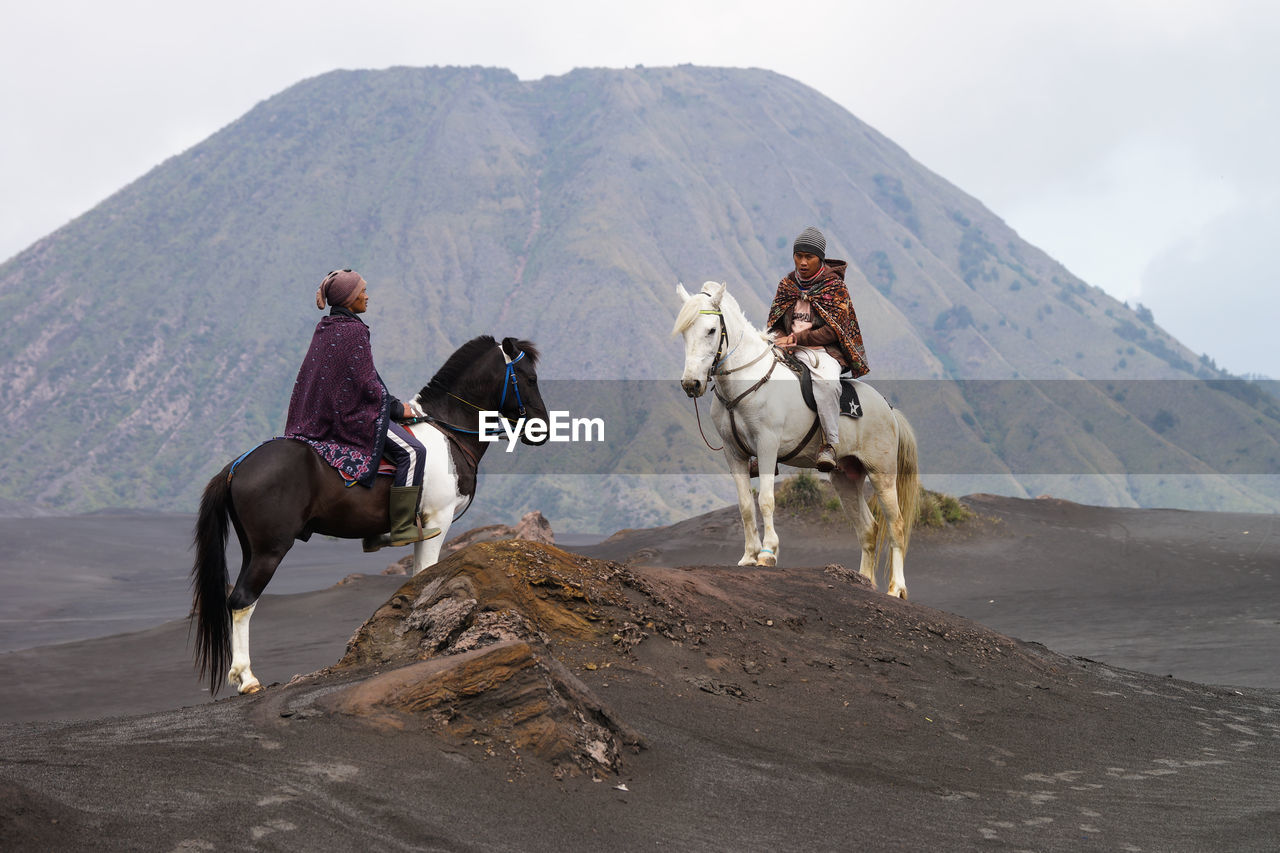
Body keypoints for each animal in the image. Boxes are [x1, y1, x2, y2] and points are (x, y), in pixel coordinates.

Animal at [192, 333, 547, 691]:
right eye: (530, 379)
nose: (541, 429)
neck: (447, 435)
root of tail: (238, 465)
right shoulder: (438, 519)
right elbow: (426, 573)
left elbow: (417, 577)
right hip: (270, 550)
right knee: (243, 600)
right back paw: (247, 678)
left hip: (252, 548)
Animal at [670, 281, 921, 594]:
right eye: (684, 332)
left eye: (711, 330)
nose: (691, 383)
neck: (746, 383)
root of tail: (888, 408)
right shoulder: (734, 453)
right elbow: (745, 505)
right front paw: (748, 555)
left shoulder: (767, 446)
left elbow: (765, 499)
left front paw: (767, 553)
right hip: (845, 477)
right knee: (868, 527)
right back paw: (864, 581)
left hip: (882, 472)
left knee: (896, 523)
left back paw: (896, 588)